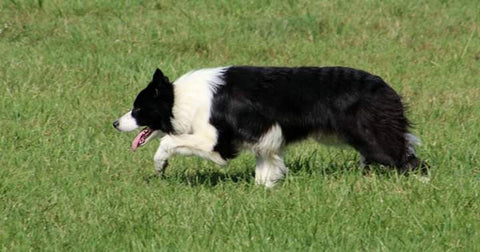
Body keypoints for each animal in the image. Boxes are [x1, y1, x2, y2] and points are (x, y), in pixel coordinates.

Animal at [113, 66, 428, 186]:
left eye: (138, 109)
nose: (115, 123)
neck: (181, 98)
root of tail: (385, 87)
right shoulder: (266, 140)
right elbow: (266, 167)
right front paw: (266, 188)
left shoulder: (217, 142)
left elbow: (169, 141)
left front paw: (160, 164)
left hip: (374, 139)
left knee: (414, 161)